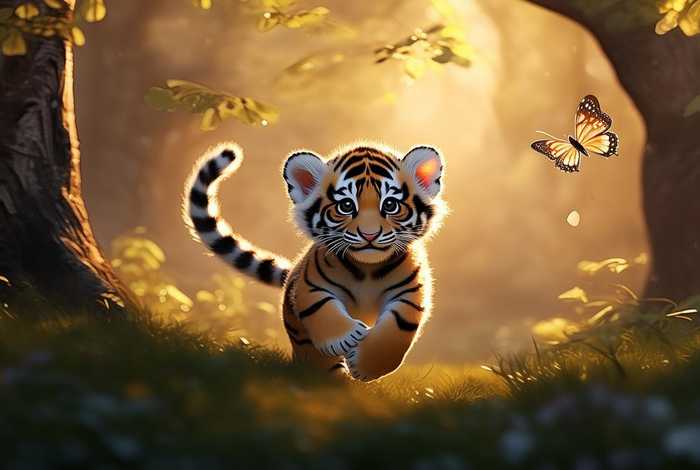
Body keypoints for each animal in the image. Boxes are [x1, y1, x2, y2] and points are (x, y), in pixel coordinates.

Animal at [184, 142, 446, 381]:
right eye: (346, 205)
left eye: (390, 205)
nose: (369, 235)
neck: (367, 268)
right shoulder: (311, 286)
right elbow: (321, 308)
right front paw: (345, 339)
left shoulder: (410, 293)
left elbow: (398, 327)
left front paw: (365, 365)